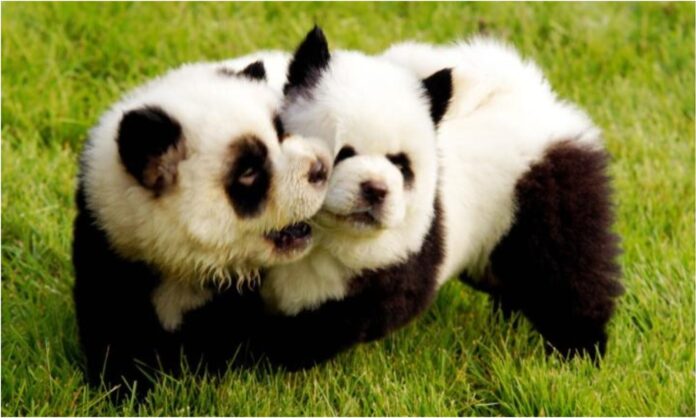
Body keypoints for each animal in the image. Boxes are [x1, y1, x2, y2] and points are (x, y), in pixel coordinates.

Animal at [72, 57, 331, 396]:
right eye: (248, 171)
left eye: (282, 133)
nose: (321, 168)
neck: (184, 264)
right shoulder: (110, 243)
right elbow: (112, 325)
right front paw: (127, 388)